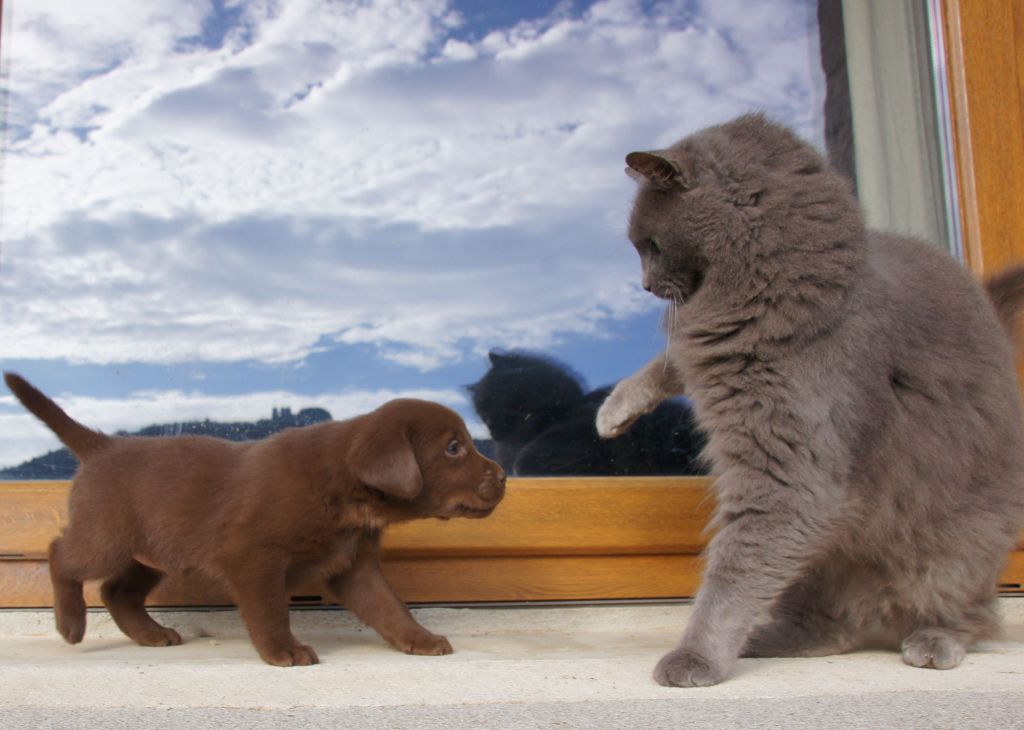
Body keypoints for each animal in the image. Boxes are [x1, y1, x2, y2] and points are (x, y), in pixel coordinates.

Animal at [4, 372, 505, 663]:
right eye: (454, 448)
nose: (502, 475)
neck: (344, 494)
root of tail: (102, 445)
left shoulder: (354, 566)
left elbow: (390, 607)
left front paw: (418, 639)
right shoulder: (253, 558)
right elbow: (270, 610)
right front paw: (283, 650)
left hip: (153, 552)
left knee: (117, 591)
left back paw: (151, 634)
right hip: (106, 538)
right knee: (60, 554)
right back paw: (70, 625)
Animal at [598, 111, 1024, 688]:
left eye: (651, 244)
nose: (644, 285)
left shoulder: (788, 466)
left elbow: (733, 573)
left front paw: (695, 659)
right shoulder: (712, 348)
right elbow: (670, 362)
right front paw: (613, 411)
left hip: (955, 550)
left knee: (972, 611)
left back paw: (935, 641)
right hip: (821, 563)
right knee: (830, 626)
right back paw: (770, 640)